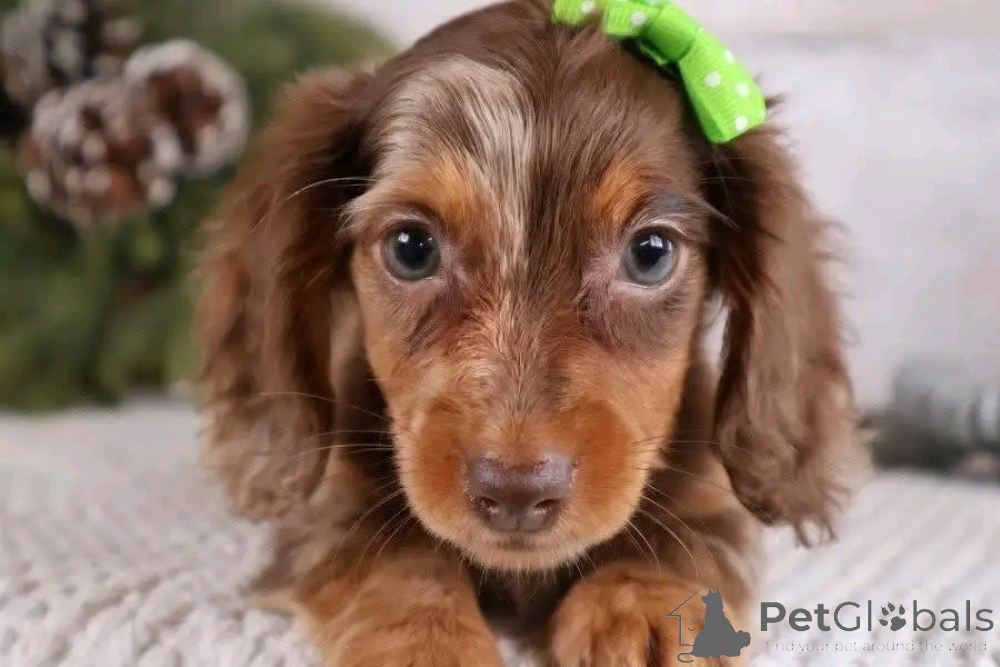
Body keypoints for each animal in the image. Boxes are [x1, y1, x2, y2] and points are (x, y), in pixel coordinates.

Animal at [197, 0, 860, 664]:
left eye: (650, 254)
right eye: (411, 249)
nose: (516, 494)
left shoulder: (709, 493)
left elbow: (685, 542)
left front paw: (644, 606)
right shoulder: (333, 507)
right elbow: (396, 557)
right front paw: (429, 640)